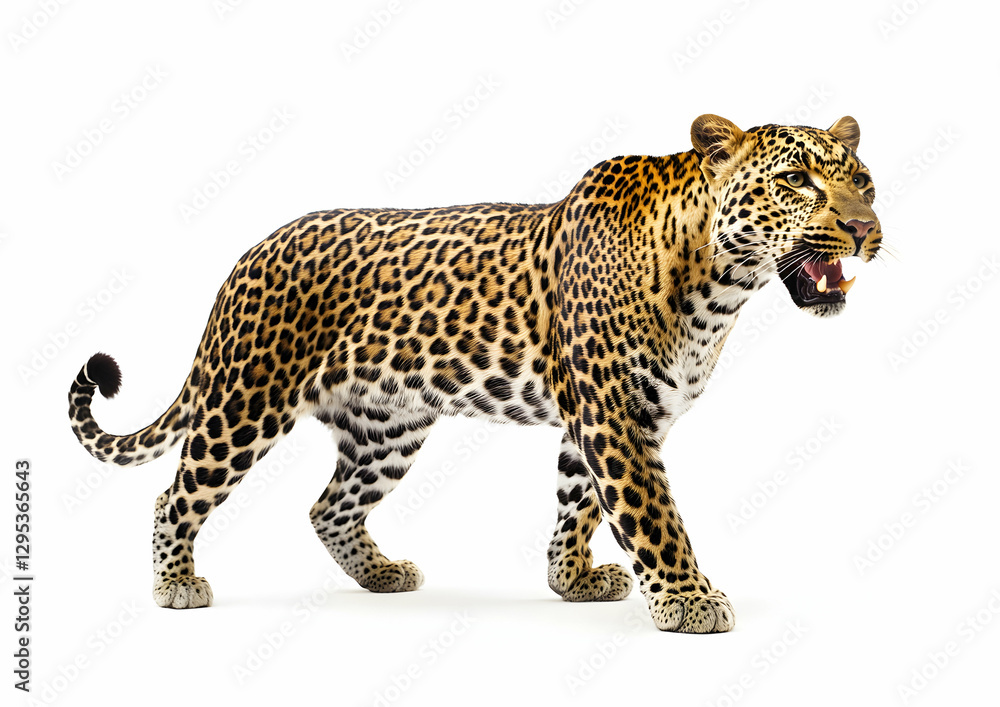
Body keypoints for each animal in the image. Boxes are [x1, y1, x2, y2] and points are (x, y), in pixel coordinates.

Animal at [68, 114, 882, 632]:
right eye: (798, 182)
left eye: (864, 183)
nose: (866, 229)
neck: (720, 283)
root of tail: (246, 255)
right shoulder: (614, 417)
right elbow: (652, 514)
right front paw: (689, 599)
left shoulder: (599, 420)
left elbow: (577, 506)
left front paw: (573, 580)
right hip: (244, 400)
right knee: (175, 492)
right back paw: (175, 584)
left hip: (387, 427)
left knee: (328, 507)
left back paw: (382, 574)